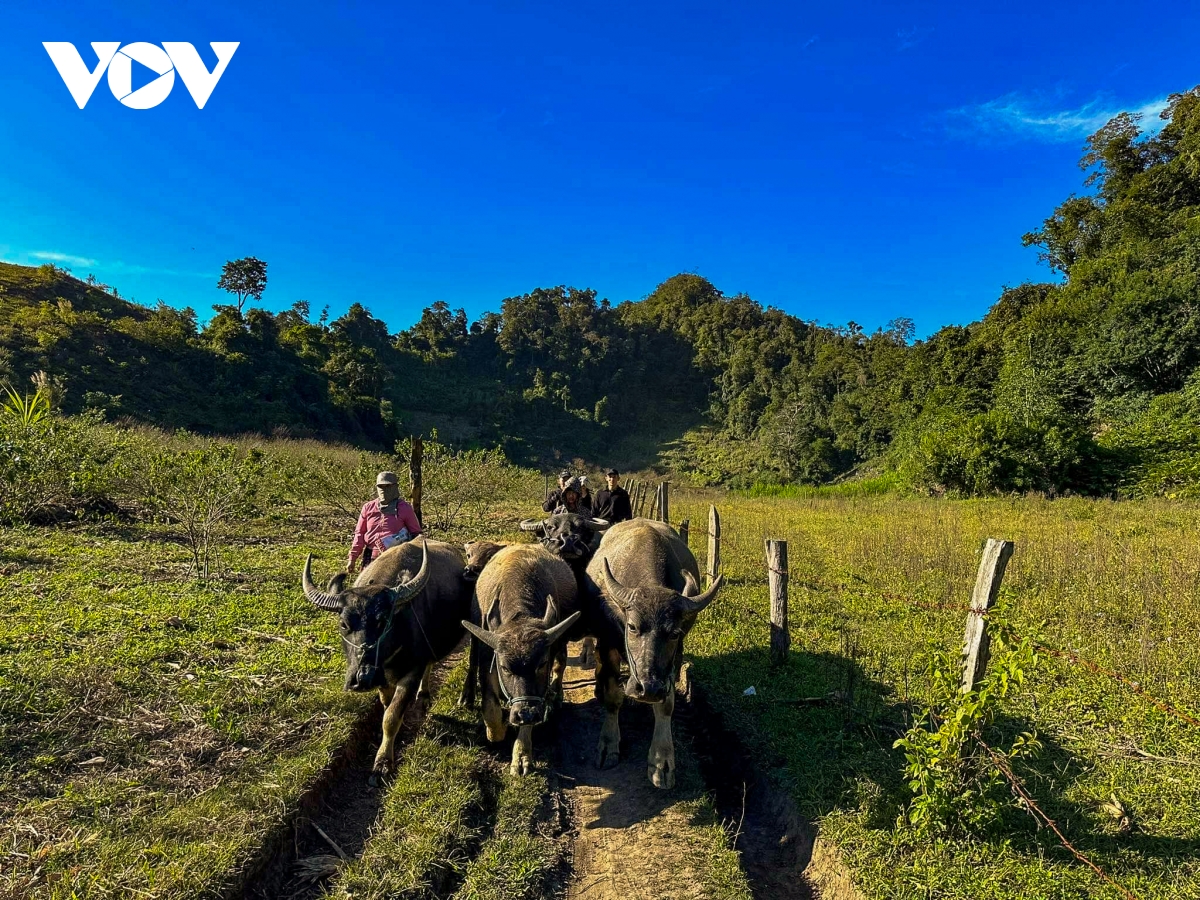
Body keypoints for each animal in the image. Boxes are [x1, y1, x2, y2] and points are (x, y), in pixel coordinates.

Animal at [298, 540, 468, 777]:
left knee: (431, 664)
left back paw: (424, 695)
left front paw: (383, 762)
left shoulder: (412, 671)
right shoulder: (382, 677)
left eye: (383, 621)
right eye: (344, 624)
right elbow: (386, 705)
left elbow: (392, 716)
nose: (362, 678)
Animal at [458, 542, 580, 777]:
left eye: (541, 664)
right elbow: (490, 708)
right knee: (472, 659)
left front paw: (522, 756)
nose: (526, 714)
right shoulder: (489, 661)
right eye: (505, 668)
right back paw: (466, 695)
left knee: (561, 663)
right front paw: (496, 732)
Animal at [583, 520, 720, 787]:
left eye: (674, 633)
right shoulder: (607, 643)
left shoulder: (674, 659)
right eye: (632, 626)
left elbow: (666, 705)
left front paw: (661, 762)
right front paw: (608, 744)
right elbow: (613, 697)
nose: (648, 688)